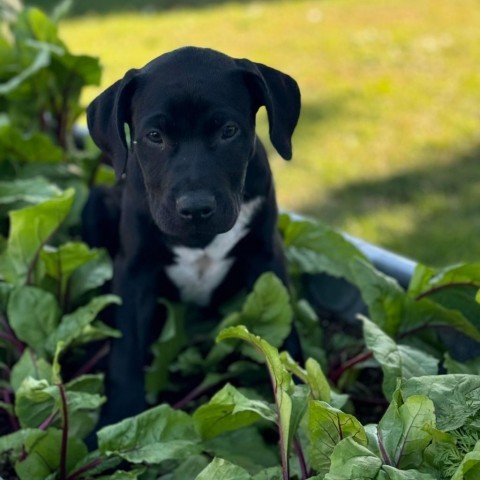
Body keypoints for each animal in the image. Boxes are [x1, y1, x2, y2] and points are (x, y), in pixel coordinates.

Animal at [84, 46, 298, 424]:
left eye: (229, 131)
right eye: (154, 136)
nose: (196, 208)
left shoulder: (266, 257)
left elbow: (285, 336)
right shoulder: (133, 272)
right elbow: (125, 349)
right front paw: (119, 417)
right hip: (95, 203)